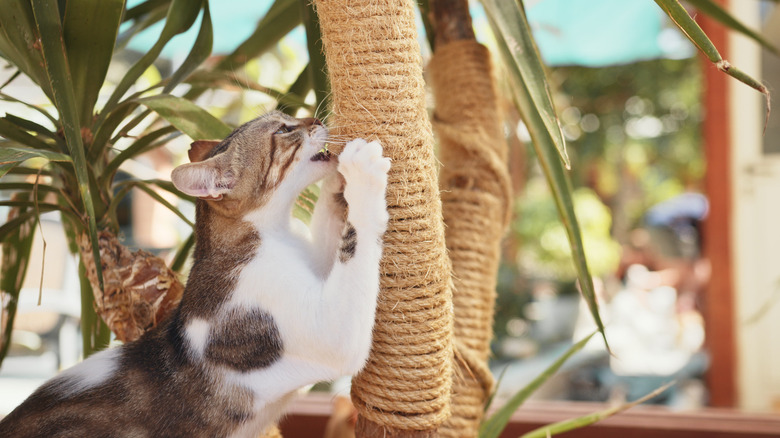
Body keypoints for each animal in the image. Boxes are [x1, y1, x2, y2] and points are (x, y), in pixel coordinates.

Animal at [0, 111, 390, 436]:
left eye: (288, 117)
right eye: (282, 130)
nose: (316, 117)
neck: (274, 236)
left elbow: (331, 229)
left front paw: (339, 181)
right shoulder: (332, 336)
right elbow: (356, 240)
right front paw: (361, 170)